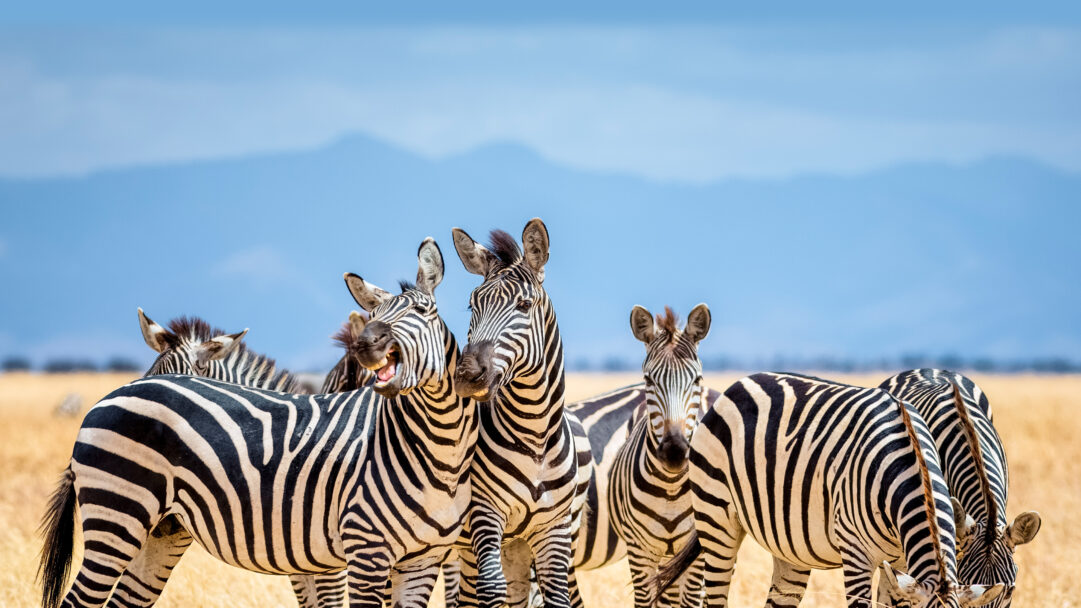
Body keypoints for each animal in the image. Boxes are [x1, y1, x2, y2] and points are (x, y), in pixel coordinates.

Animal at [38, 237, 478, 608]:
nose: (367, 343)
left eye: (422, 311)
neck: (438, 447)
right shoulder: (354, 553)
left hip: (159, 531)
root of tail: (105, 400)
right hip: (117, 515)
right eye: (374, 314)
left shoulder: (416, 559)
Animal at [449, 218, 593, 608]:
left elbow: (556, 594)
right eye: (472, 306)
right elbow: (491, 589)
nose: (467, 375)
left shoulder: (554, 527)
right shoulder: (484, 513)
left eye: (524, 305)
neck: (535, 434)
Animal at [606, 304, 713, 608]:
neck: (671, 489)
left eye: (697, 379)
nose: (675, 452)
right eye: (649, 380)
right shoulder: (639, 551)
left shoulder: (696, 555)